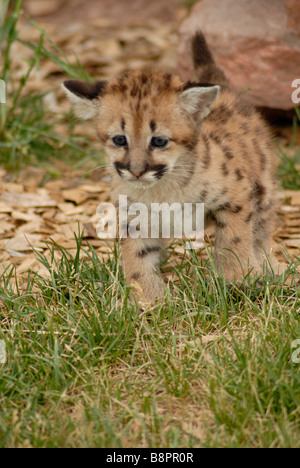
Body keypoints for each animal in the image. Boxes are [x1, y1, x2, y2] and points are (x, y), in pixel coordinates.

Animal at [62, 32, 278, 304]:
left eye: (159, 141)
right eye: (120, 139)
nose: (136, 171)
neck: (162, 188)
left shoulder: (237, 195)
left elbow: (234, 239)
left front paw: (236, 279)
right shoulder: (134, 215)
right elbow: (138, 256)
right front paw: (148, 299)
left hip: (263, 190)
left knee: (261, 234)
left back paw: (269, 268)